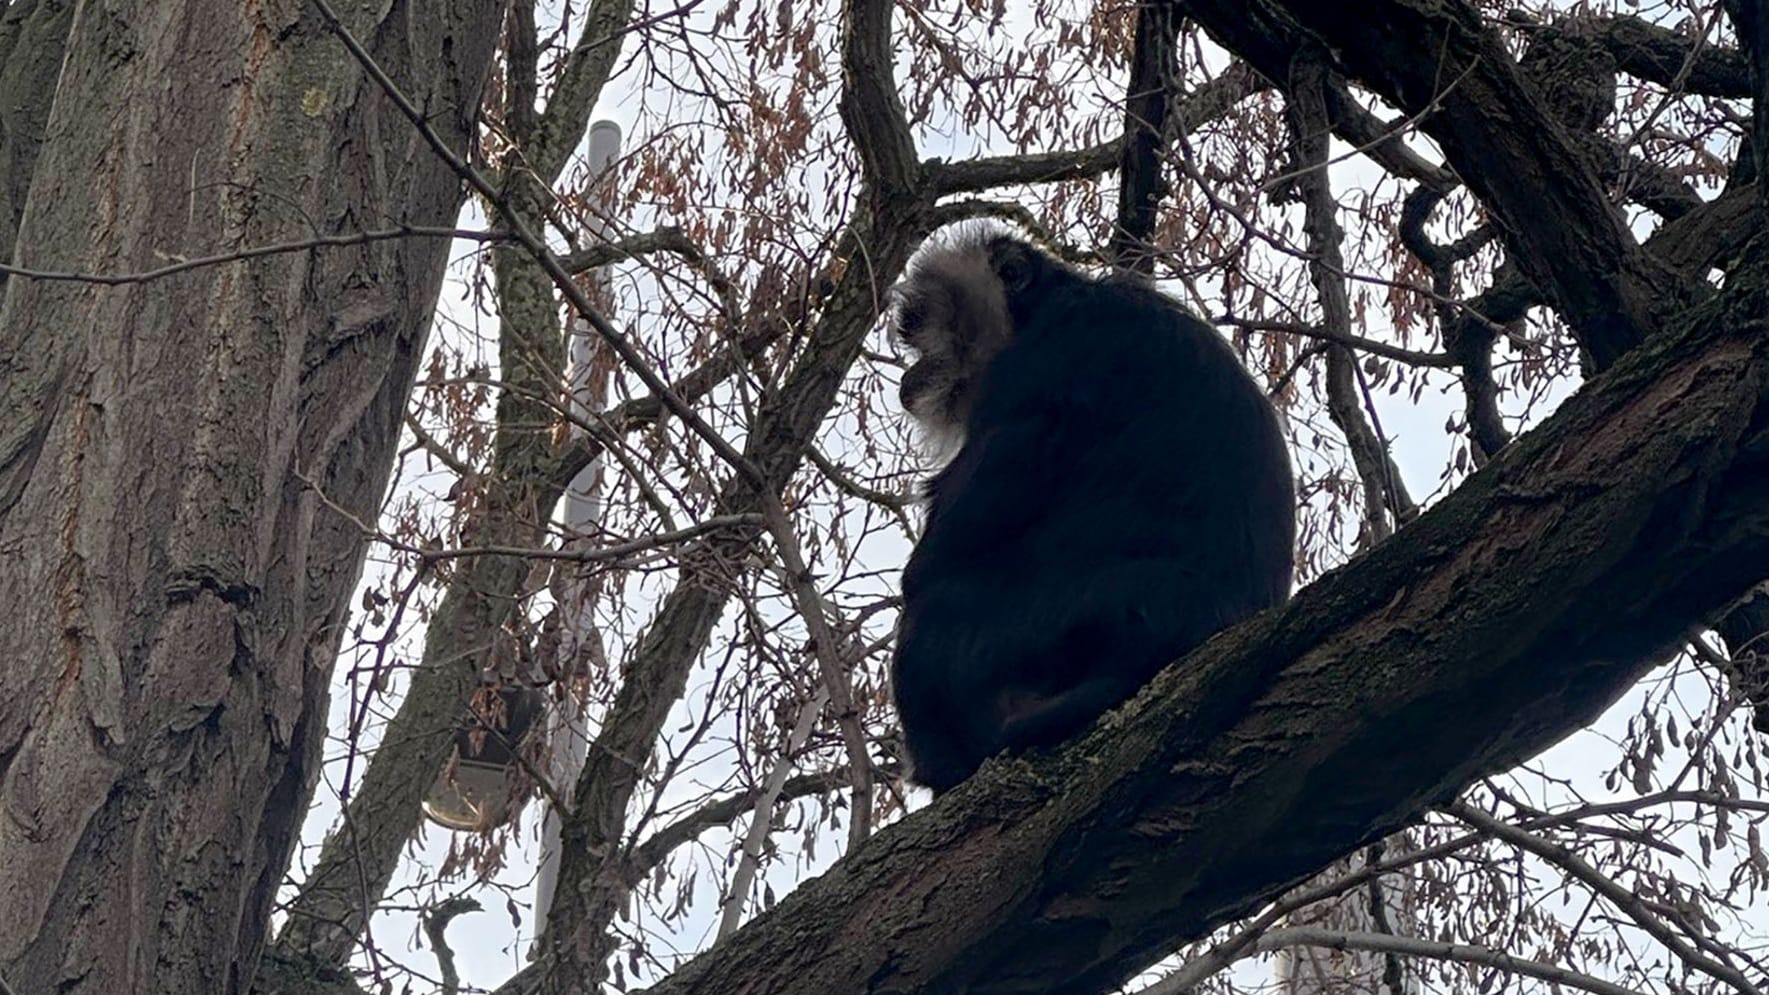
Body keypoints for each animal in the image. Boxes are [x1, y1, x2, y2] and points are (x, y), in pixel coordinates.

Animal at [891, 223, 1294, 789]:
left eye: (921, 324)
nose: (913, 373)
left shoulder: (1040, 360)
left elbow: (943, 552)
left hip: (1042, 628)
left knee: (931, 619)